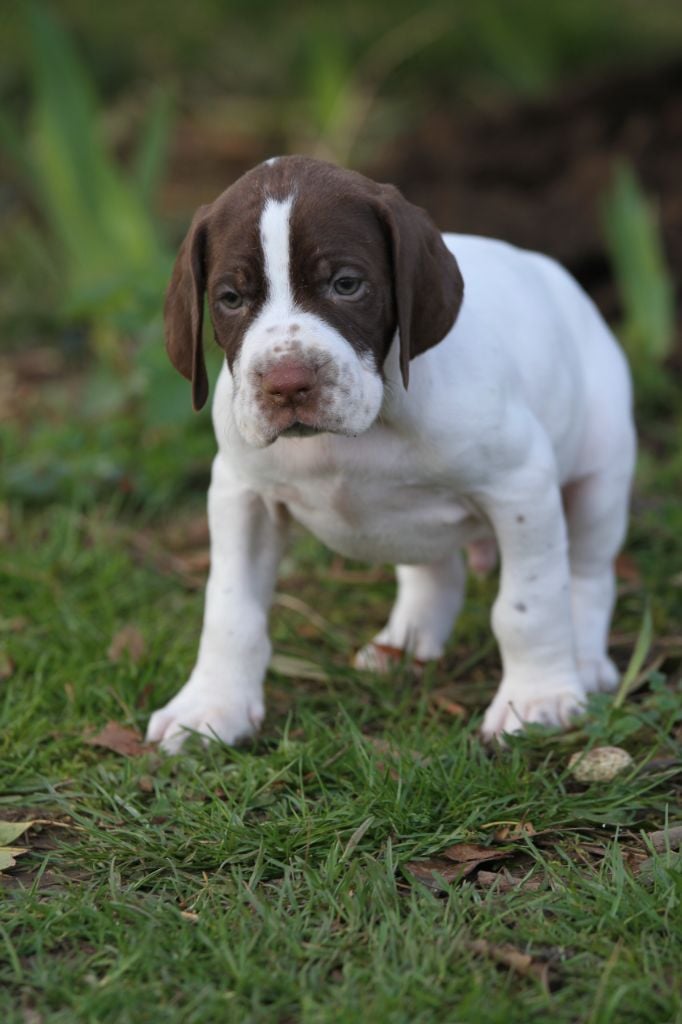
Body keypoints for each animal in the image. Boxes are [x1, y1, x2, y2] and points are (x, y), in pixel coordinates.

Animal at [146, 153, 634, 753]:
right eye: (231, 298)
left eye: (346, 284)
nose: (286, 384)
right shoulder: (243, 495)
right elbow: (231, 608)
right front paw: (211, 707)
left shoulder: (521, 486)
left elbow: (530, 605)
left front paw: (537, 699)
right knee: (435, 572)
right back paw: (404, 645)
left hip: (600, 476)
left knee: (588, 573)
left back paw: (583, 663)